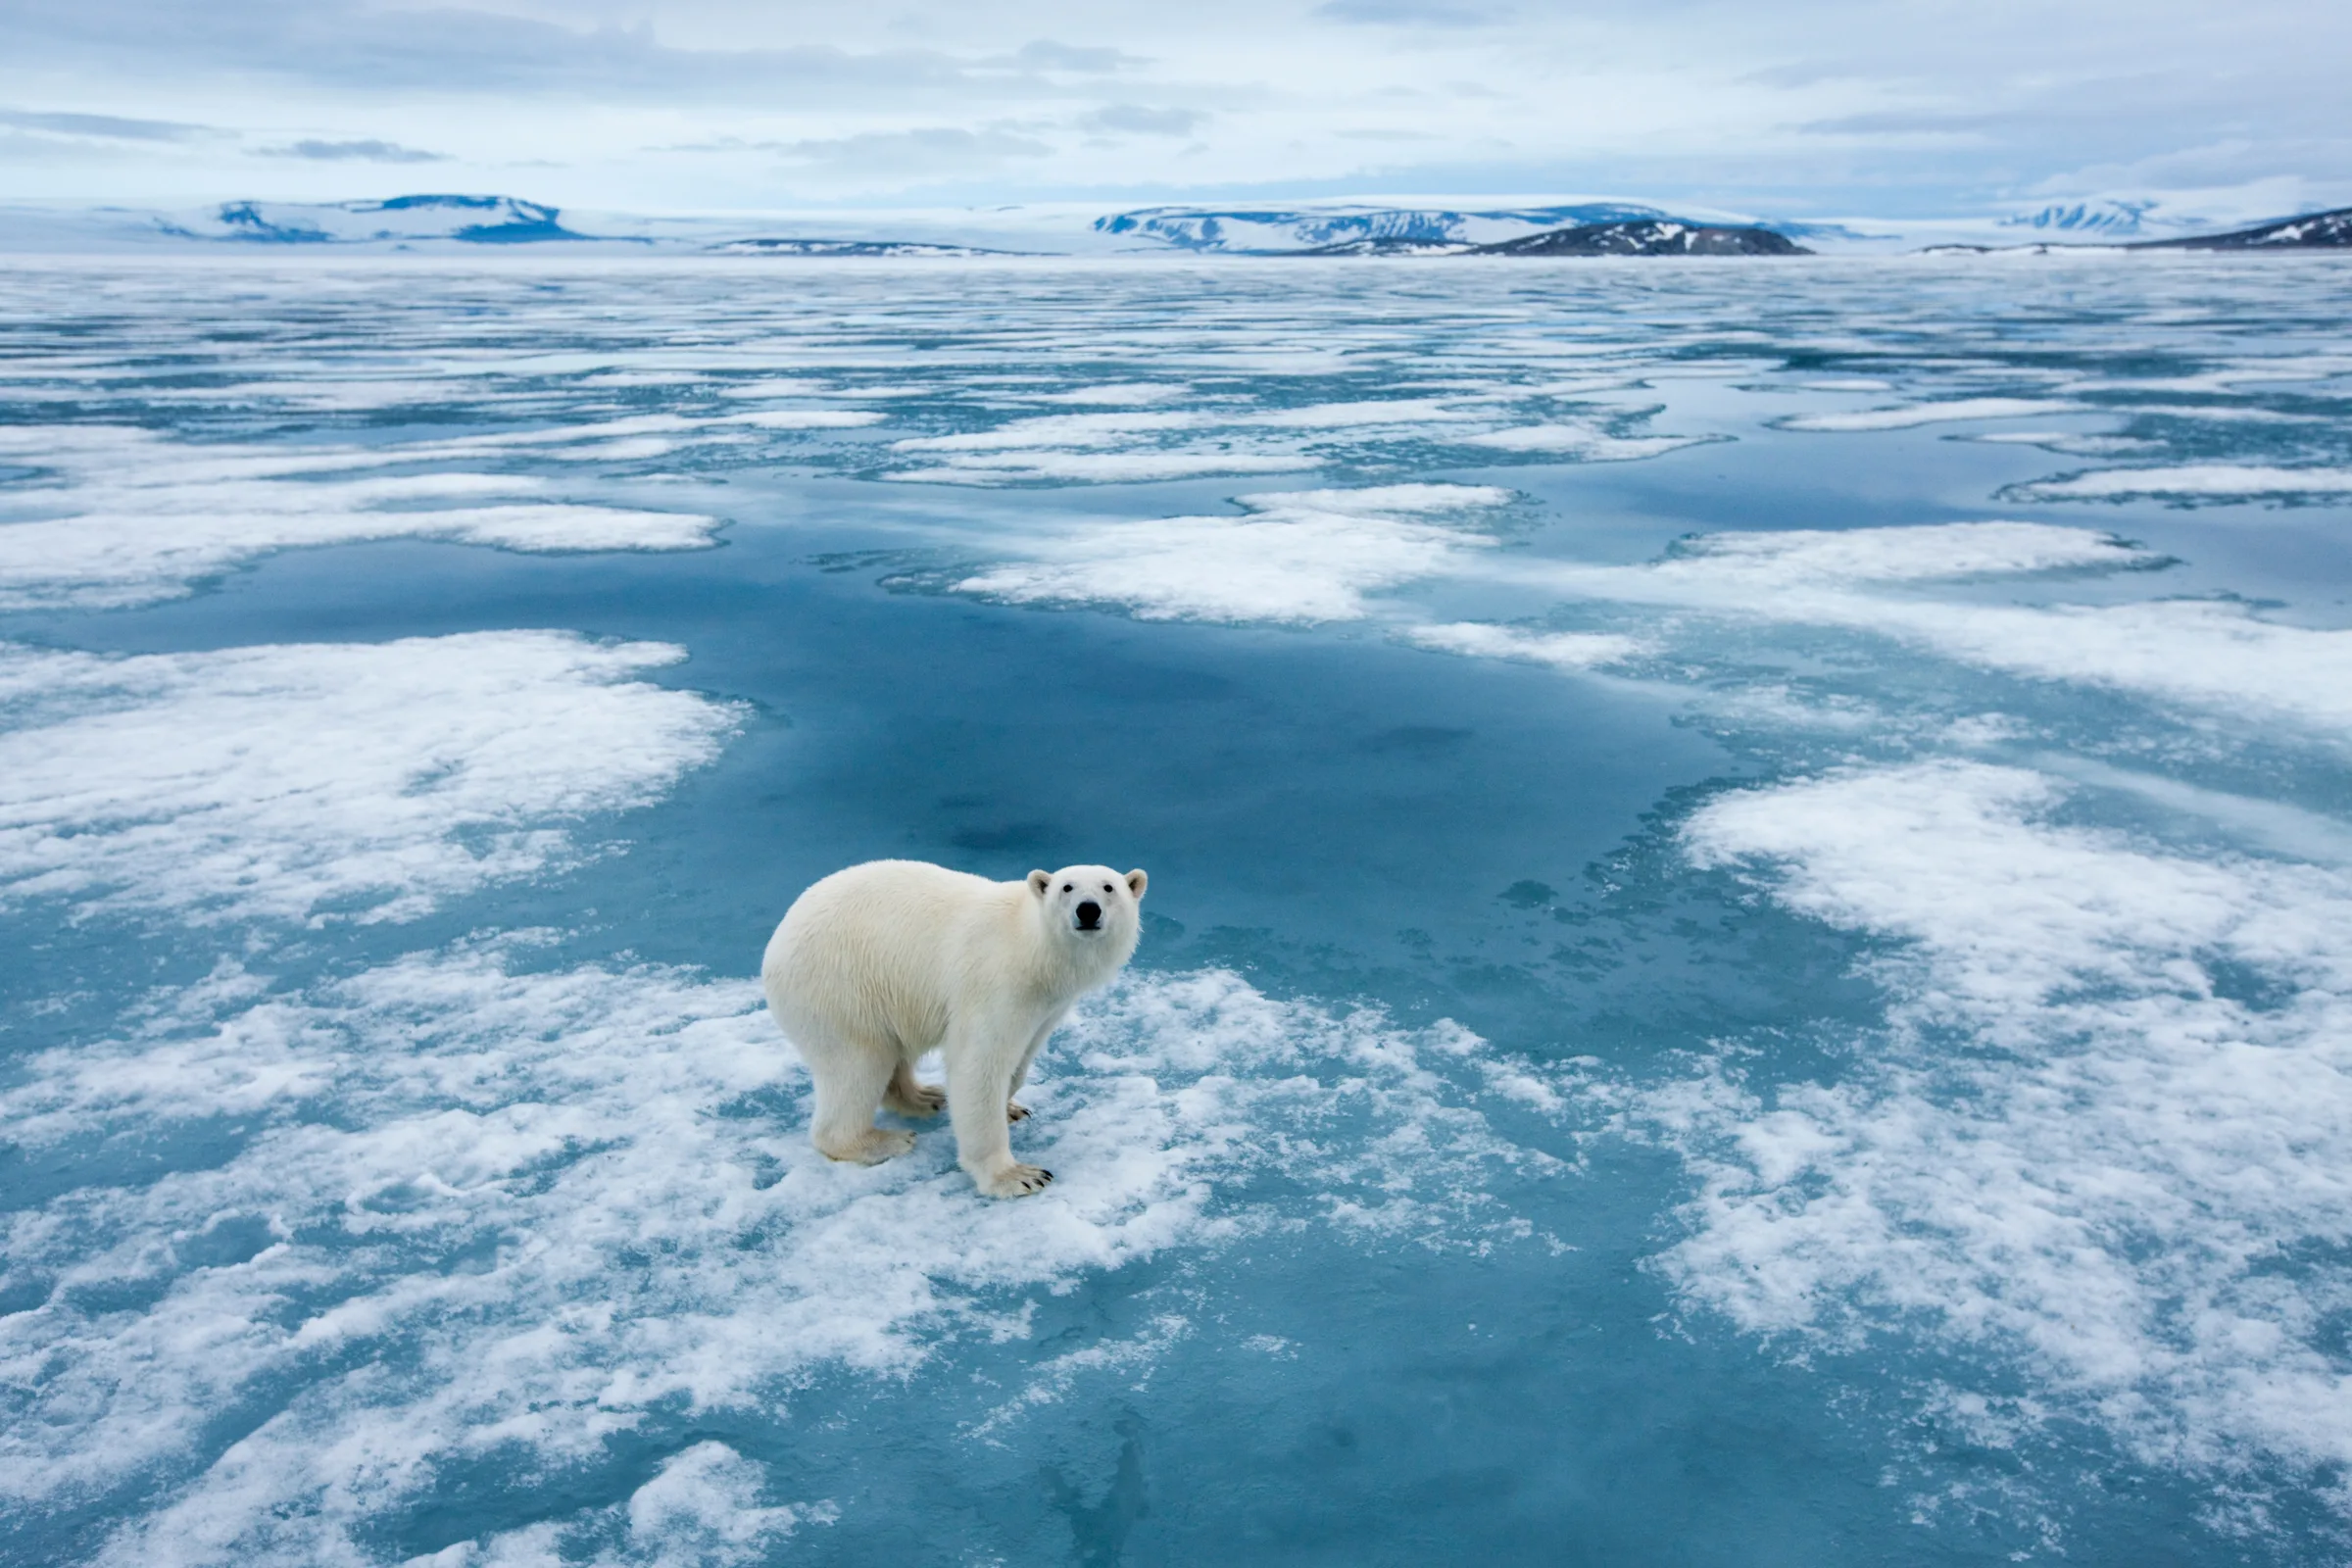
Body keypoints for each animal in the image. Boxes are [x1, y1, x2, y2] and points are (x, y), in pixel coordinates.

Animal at [760, 860, 1148, 1198]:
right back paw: (884, 1140)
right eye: (1067, 887)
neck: (1034, 948)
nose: (1088, 910)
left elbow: (1021, 1059)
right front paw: (1016, 1175)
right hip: (839, 988)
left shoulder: (1050, 1006)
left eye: (1109, 887)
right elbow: (978, 1063)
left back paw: (926, 1096)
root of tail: (776, 942)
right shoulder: (997, 982)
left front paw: (1011, 1107)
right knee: (858, 1063)